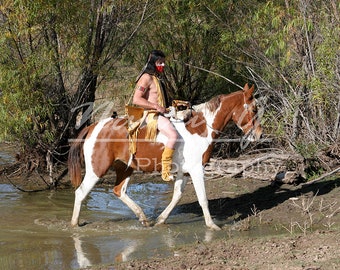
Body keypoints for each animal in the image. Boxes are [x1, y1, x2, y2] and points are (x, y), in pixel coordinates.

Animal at [67, 83, 262, 230]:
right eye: (254, 109)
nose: (259, 134)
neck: (200, 129)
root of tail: (93, 127)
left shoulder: (184, 172)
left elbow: (177, 195)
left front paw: (161, 220)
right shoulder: (197, 170)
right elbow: (202, 198)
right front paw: (212, 225)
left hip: (125, 167)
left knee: (119, 191)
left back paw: (143, 218)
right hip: (97, 170)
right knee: (80, 192)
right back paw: (75, 224)